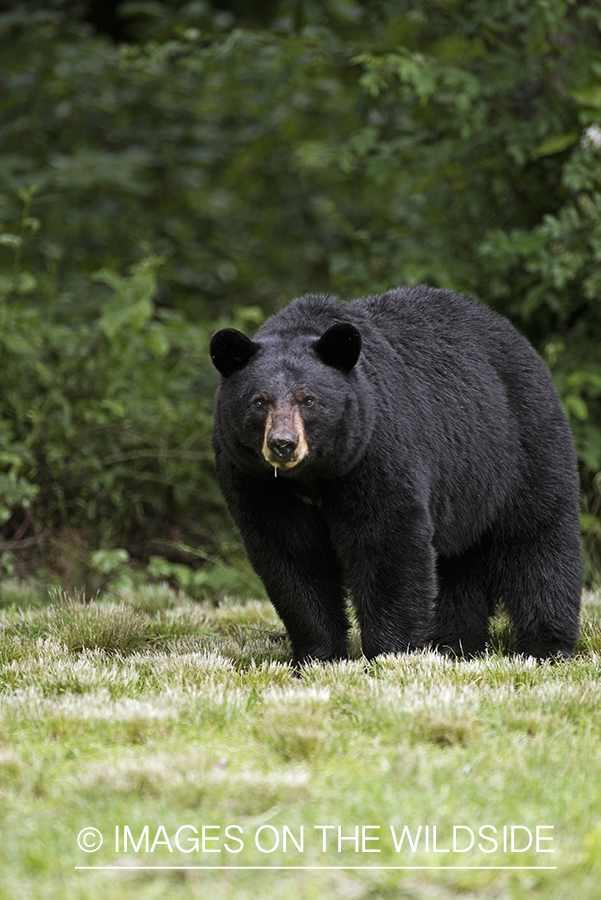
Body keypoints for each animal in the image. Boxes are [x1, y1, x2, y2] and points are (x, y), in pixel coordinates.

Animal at [210, 290, 580, 668]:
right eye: (259, 401)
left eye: (308, 399)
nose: (283, 444)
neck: (312, 475)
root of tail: (514, 333)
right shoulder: (258, 484)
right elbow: (292, 558)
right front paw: (317, 659)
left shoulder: (376, 449)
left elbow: (388, 545)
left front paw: (389, 656)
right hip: (466, 488)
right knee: (457, 562)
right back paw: (455, 645)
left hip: (521, 443)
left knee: (538, 539)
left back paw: (546, 648)